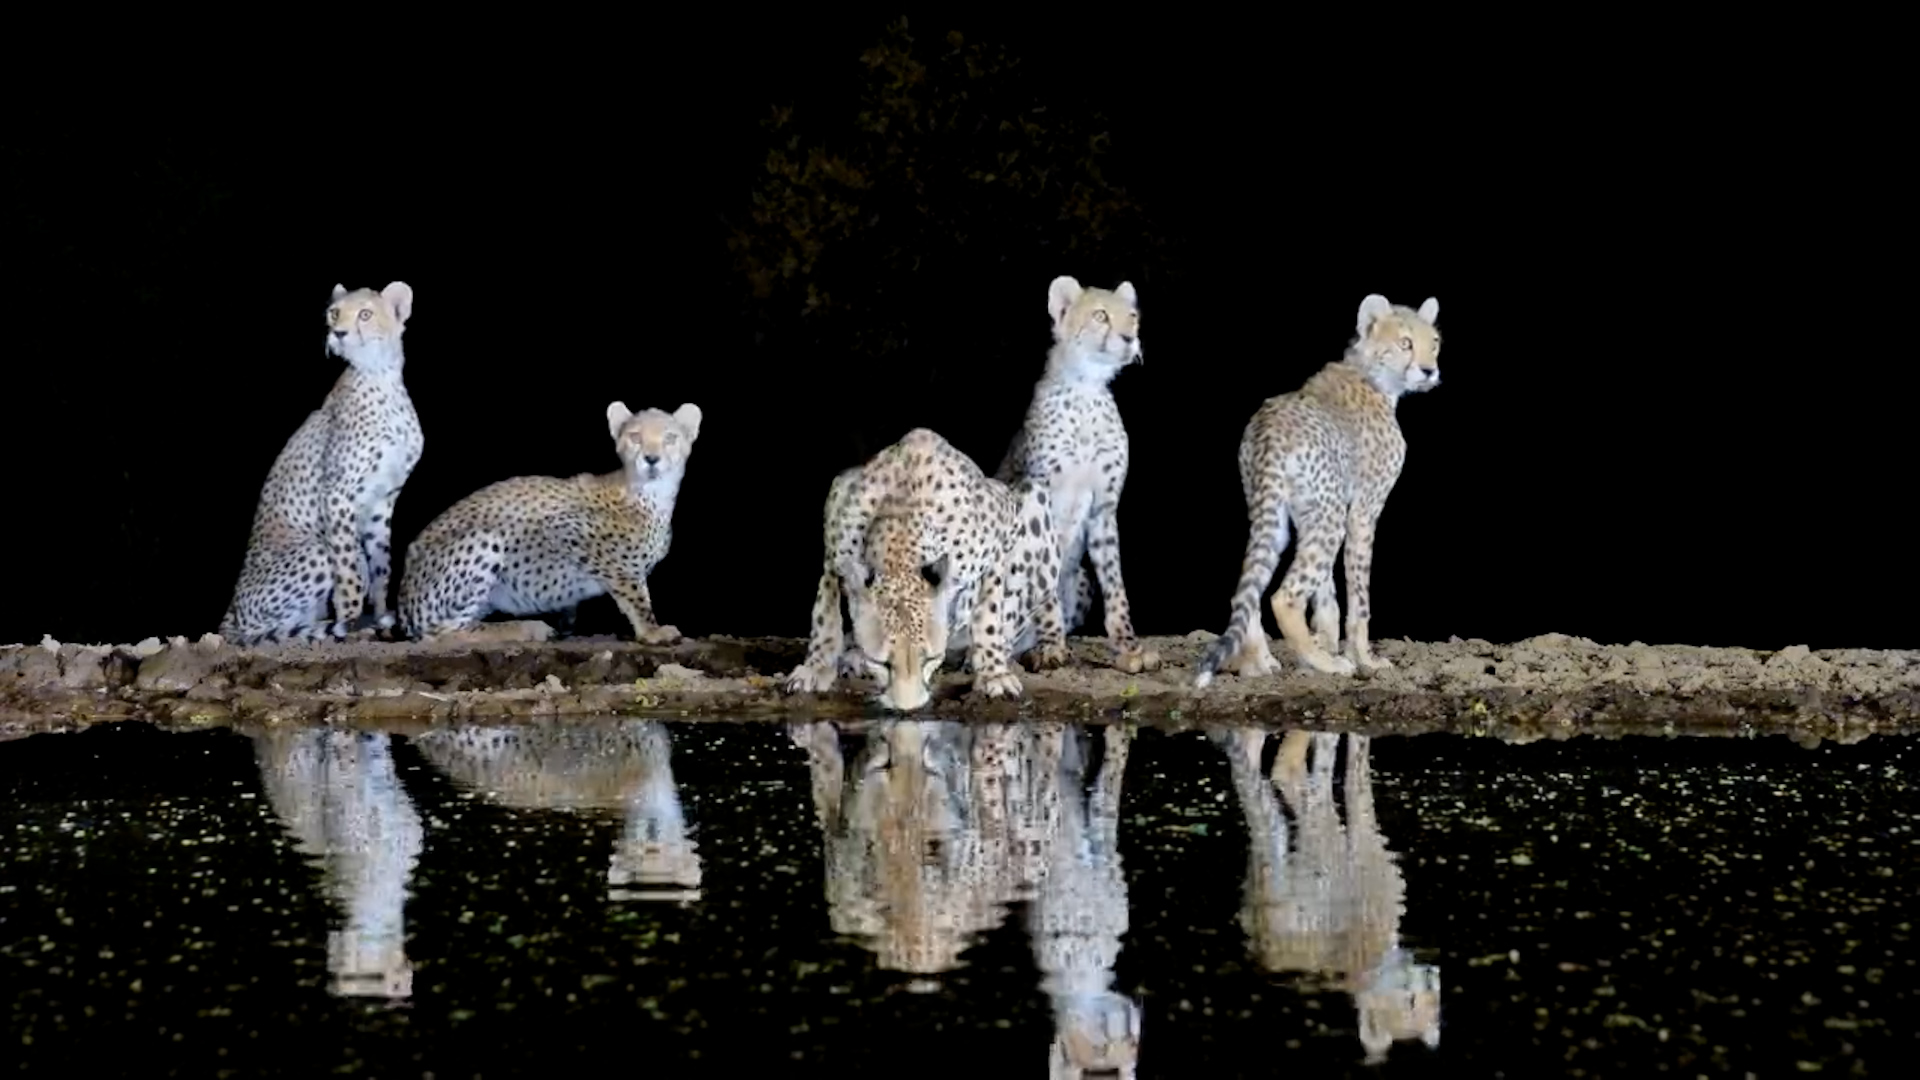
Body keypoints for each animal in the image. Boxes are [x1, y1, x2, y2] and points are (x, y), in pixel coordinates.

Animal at [219, 282, 424, 645]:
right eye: (334, 313)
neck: (380, 375)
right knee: (257, 631)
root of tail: (231, 607)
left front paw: (381, 618)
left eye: (366, 314)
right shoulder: (337, 495)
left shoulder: (382, 500)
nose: (338, 333)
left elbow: (382, 566)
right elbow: (349, 572)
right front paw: (351, 624)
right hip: (312, 551)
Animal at [397, 402, 701, 645]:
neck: (649, 494)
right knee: (439, 632)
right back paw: (523, 629)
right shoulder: (567, 531)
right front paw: (652, 632)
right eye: (635, 437)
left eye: (670, 438)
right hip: (485, 540)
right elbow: (633, 593)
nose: (651, 459)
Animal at [782, 427, 1072, 713]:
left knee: (1043, 599)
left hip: (1033, 498)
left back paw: (1048, 646)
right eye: (881, 663)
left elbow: (988, 615)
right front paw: (817, 666)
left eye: (929, 659)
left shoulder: (1003, 520)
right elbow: (825, 613)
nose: (907, 709)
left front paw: (993, 671)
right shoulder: (835, 536)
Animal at [996, 275, 1161, 675]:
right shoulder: (1041, 501)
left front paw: (1130, 648)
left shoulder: (1104, 506)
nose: (1130, 338)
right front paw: (1052, 646)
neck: (1086, 388)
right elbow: (1046, 583)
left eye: (1132, 316)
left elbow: (1116, 585)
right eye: (1100, 315)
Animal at [1192, 294, 1442, 685]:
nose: (1430, 370)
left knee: (1247, 589)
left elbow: (1326, 595)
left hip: (1275, 513)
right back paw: (1322, 663)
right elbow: (1358, 599)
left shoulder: (1313, 509)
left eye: (1434, 343)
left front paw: (1325, 643)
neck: (1372, 374)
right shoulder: (1361, 511)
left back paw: (1260, 662)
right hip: (1328, 519)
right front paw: (1361, 659)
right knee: (1284, 596)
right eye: (1405, 343)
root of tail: (1268, 428)